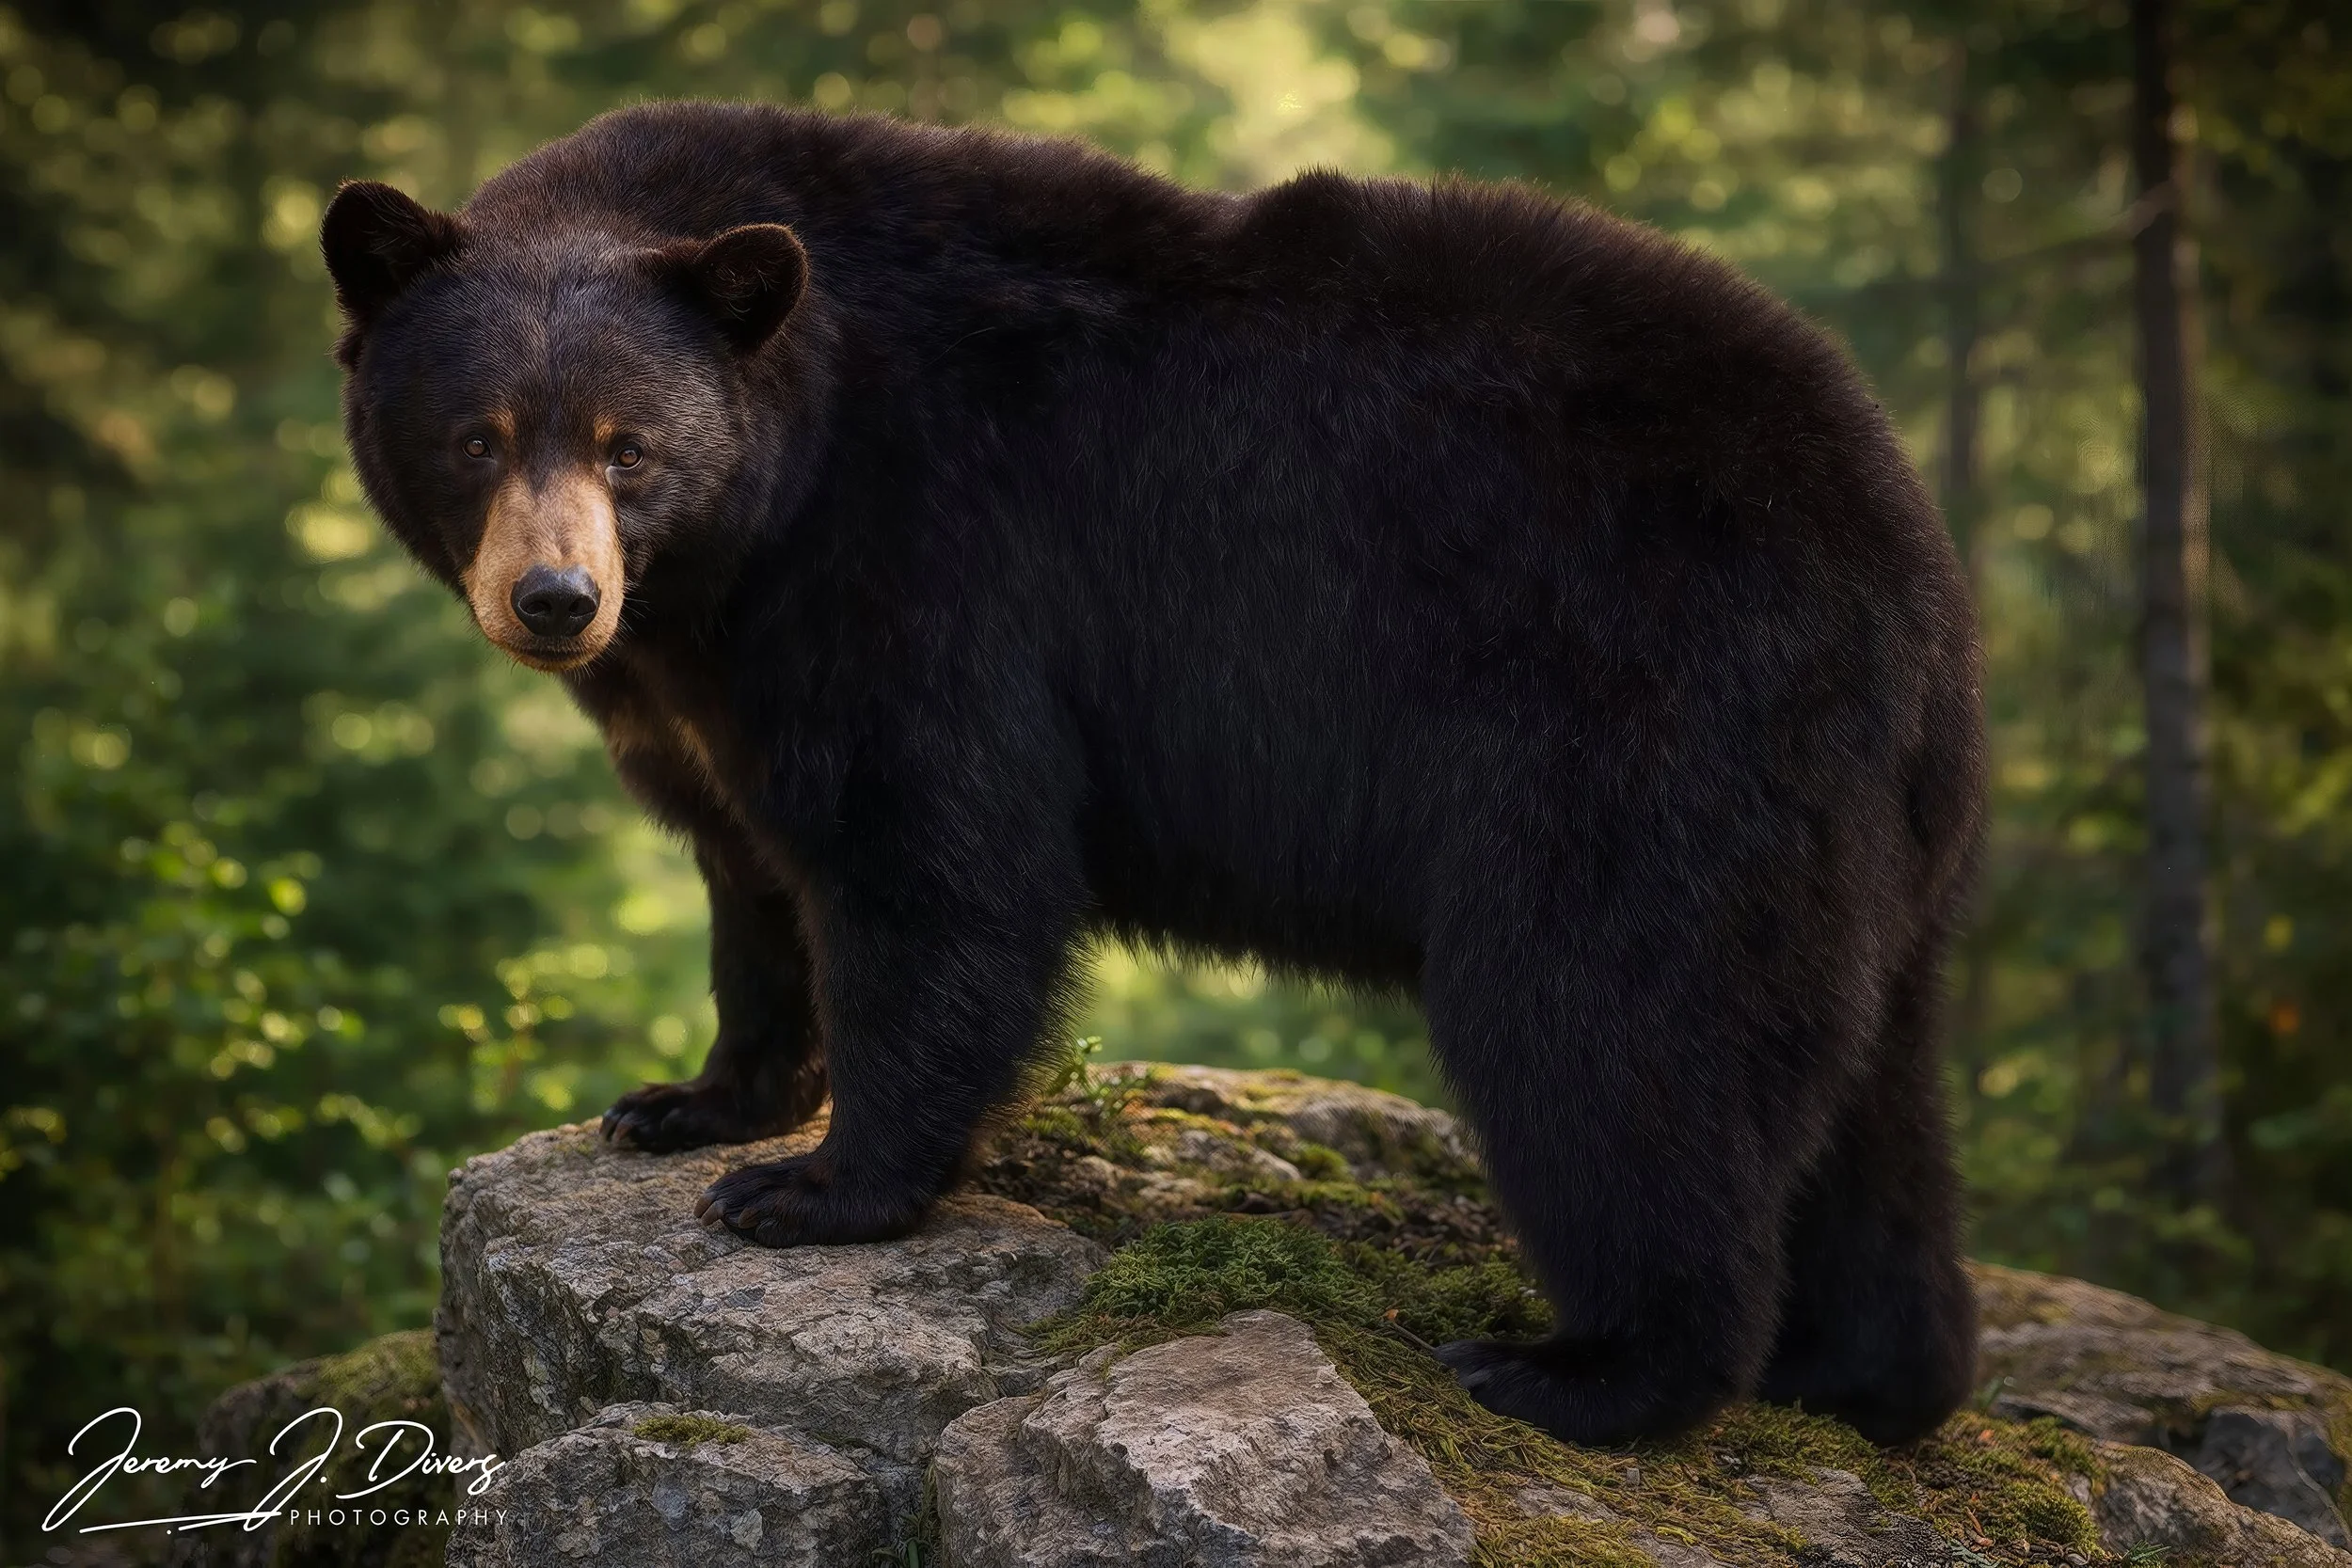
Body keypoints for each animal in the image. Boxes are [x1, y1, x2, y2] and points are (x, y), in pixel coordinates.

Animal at [321, 100, 1985, 1449]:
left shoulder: (922, 553)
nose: (556, 600)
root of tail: (1909, 561)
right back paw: (1864, 1372)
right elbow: (753, 872)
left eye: (630, 446)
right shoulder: (717, 664)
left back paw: (1588, 1368)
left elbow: (934, 856)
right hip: (1857, 835)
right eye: (478, 436)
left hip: (1640, 724)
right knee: (1859, 1091)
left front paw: (813, 1189)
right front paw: (691, 1100)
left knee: (1611, 1025)